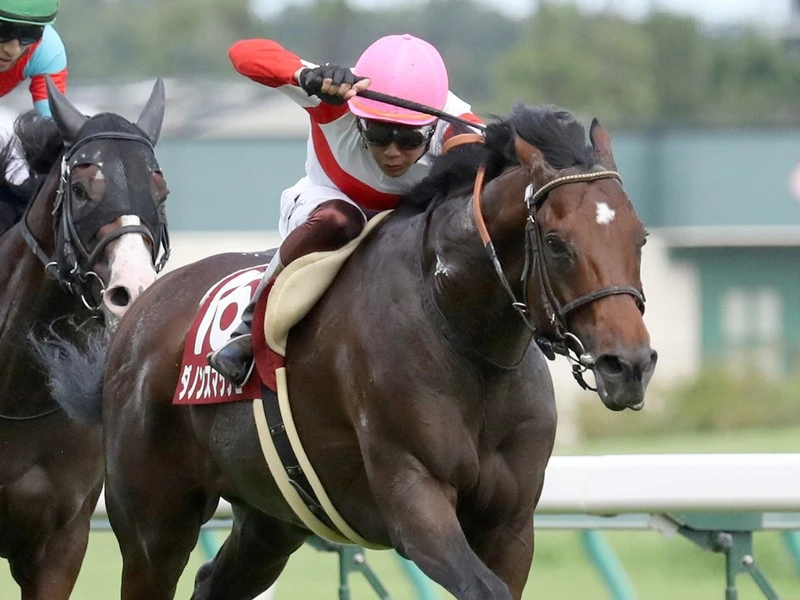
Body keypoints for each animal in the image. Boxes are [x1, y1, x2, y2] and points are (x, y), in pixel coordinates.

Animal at [46, 103, 656, 600]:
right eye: (555, 243)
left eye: (640, 236)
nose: (628, 365)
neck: (458, 328)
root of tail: (137, 315)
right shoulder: (415, 501)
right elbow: (482, 587)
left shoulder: (510, 524)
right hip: (153, 525)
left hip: (271, 521)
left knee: (213, 581)